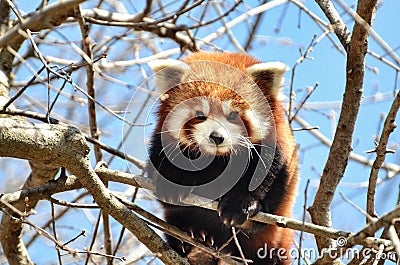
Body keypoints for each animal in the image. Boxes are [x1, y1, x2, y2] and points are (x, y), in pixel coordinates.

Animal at [146, 52, 296, 264]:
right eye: (200, 115)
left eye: (233, 115)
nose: (216, 137)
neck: (218, 159)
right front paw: (171, 185)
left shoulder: (276, 151)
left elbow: (266, 180)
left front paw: (240, 205)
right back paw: (193, 240)